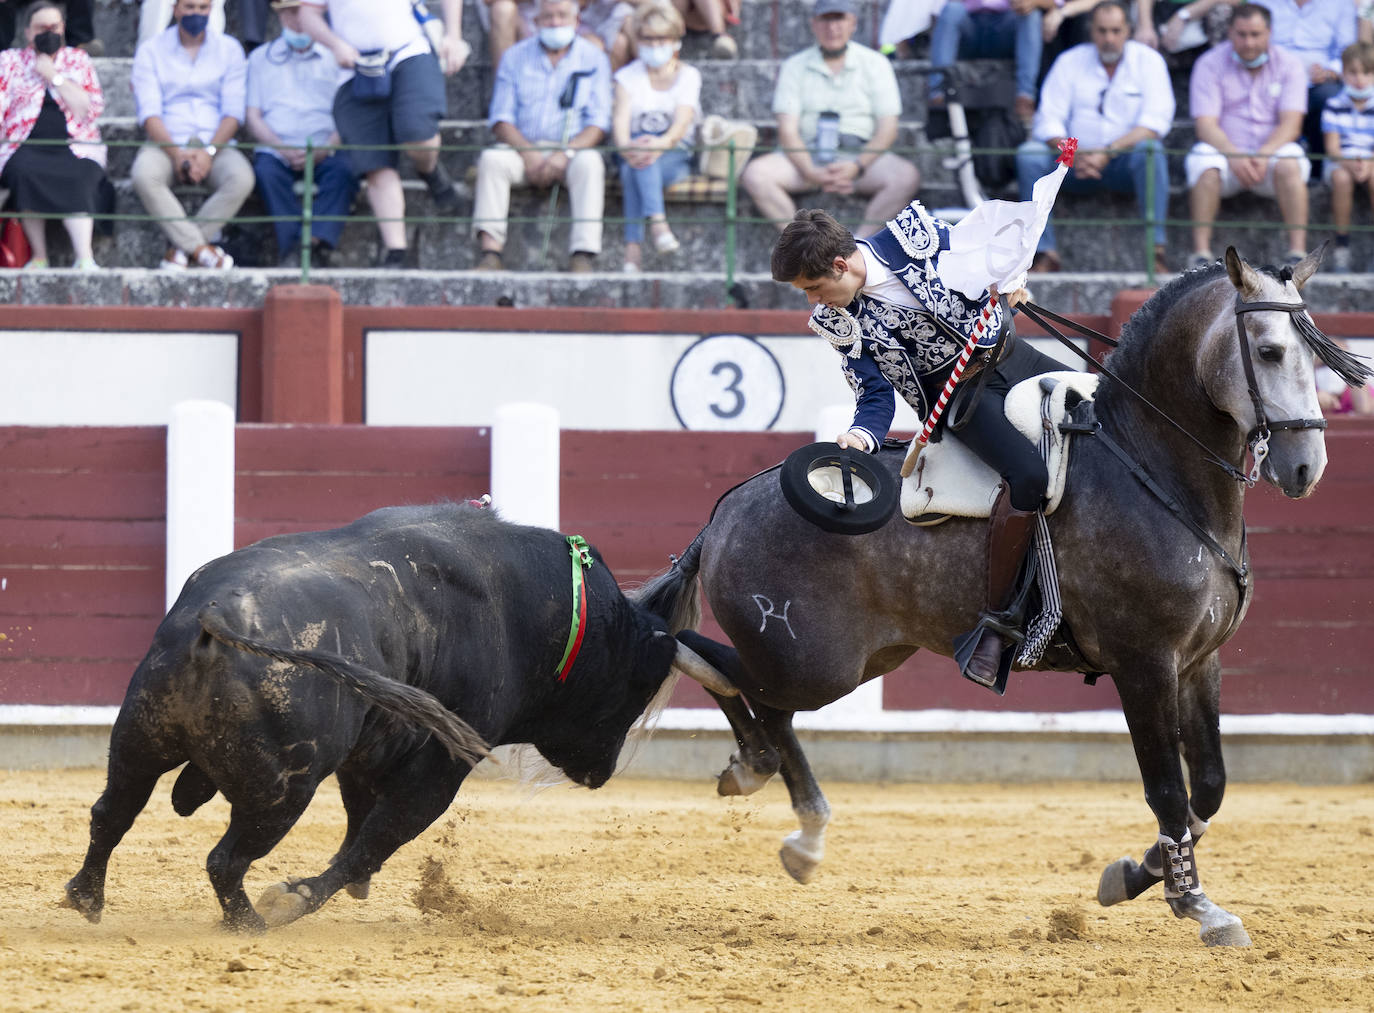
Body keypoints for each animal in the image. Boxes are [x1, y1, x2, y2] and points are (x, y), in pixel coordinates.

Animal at [61, 503, 730, 929]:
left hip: (140, 737)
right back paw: (254, 921)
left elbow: (360, 823)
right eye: (636, 686)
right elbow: (377, 837)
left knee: (111, 813)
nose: (601, 772)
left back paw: (85, 898)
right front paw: (303, 895)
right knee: (227, 859)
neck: (534, 608)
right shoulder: (441, 766)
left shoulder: (371, 749)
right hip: (283, 789)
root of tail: (213, 617)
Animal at [637, 247, 1368, 945]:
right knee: (712, 660)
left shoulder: (1199, 661)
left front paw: (1133, 875)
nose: (1306, 467)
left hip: (860, 658)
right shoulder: (1144, 663)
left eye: (1315, 350)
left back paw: (779, 800)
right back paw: (773, 791)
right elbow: (1167, 786)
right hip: (813, 660)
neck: (1152, 467)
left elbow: (1208, 785)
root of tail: (727, 509)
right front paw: (1198, 906)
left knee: (759, 697)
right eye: (1269, 350)